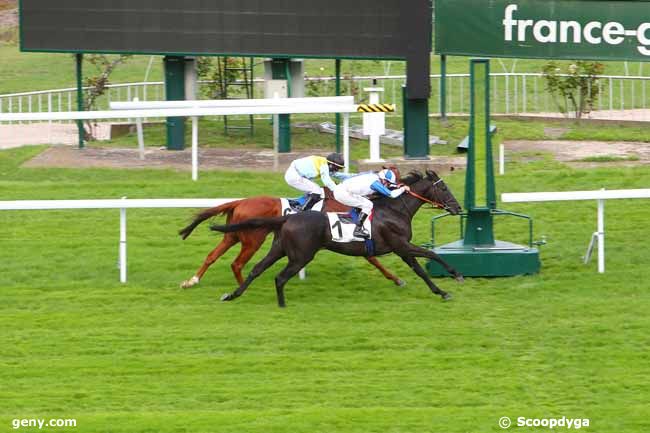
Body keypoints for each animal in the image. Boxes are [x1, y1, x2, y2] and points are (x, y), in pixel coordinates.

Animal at [177, 188, 400, 286]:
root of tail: (239, 202)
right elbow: (372, 257)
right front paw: (395, 278)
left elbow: (371, 256)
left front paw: (395, 278)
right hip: (253, 240)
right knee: (237, 264)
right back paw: (242, 285)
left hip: (232, 236)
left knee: (211, 256)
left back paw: (192, 280)